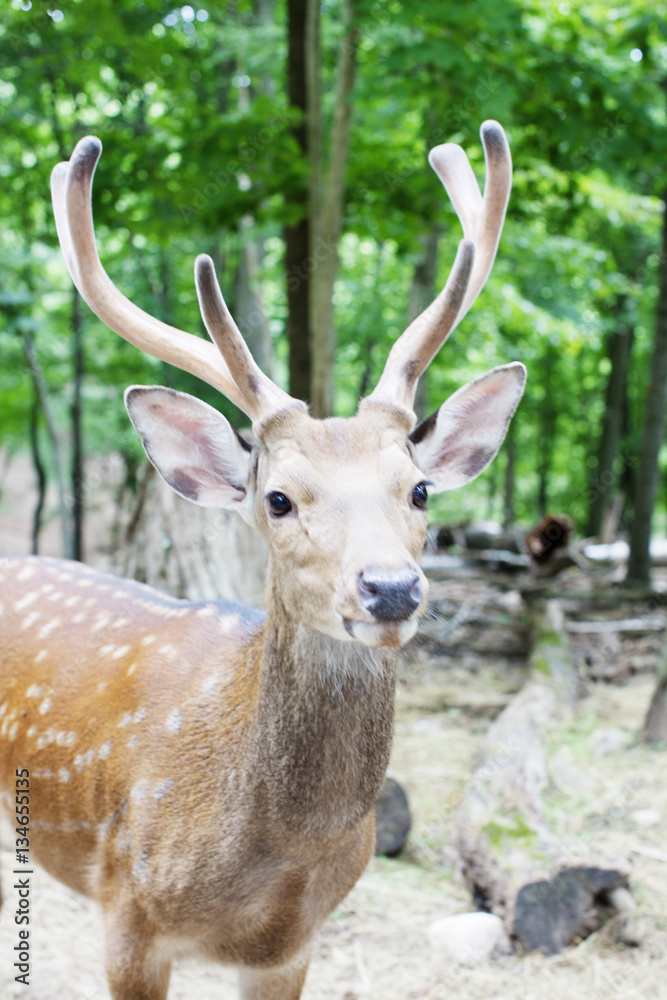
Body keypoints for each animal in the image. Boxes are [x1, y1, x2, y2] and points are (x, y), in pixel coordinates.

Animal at [0, 121, 524, 996]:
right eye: (277, 499)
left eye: (418, 489)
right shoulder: (126, 910)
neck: (268, 867)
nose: (389, 589)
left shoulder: (292, 947)